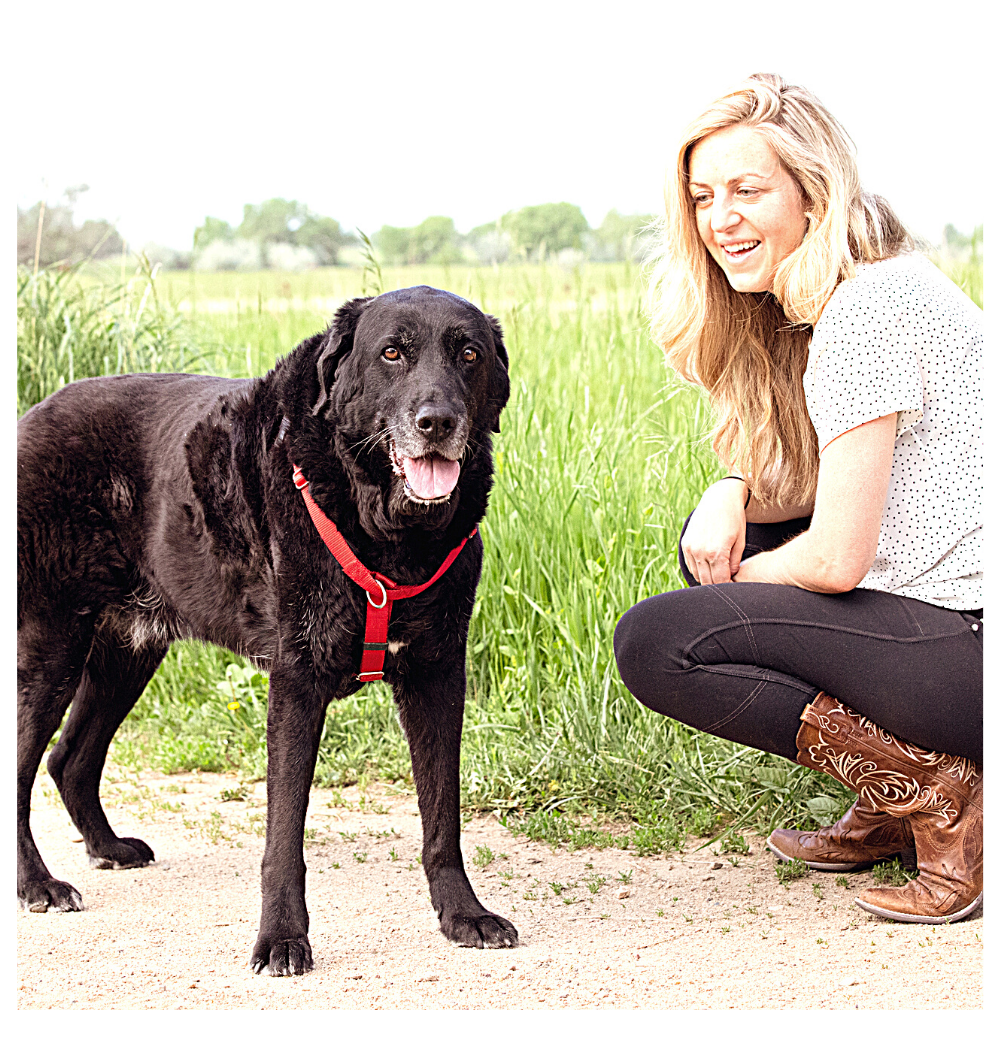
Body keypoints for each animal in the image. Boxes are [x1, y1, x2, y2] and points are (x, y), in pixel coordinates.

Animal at [17, 287, 513, 972]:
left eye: (468, 354)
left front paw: (463, 914)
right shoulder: (297, 679)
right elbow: (284, 833)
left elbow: (443, 816)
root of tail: (30, 417)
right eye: (392, 353)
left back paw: (108, 847)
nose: (436, 421)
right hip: (52, 646)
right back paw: (37, 884)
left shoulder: (438, 672)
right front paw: (281, 937)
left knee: (69, 758)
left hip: (127, 651)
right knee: (26, 764)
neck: (389, 534)